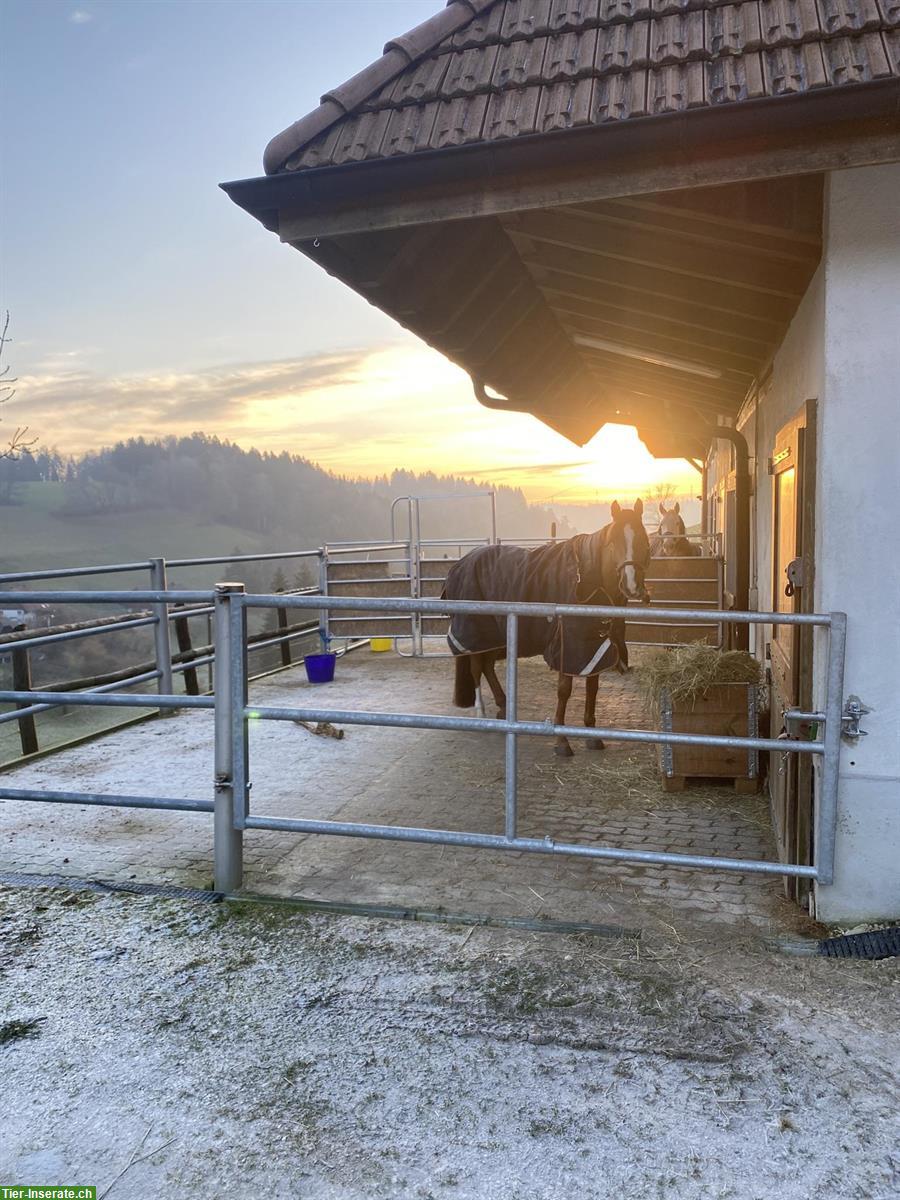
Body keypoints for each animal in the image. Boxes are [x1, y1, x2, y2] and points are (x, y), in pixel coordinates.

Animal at [441, 496, 648, 758]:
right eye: (613, 541)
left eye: (642, 537)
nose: (632, 586)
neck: (584, 579)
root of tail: (458, 565)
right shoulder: (567, 643)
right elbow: (564, 690)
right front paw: (562, 741)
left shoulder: (593, 645)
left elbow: (593, 687)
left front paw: (592, 736)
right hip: (476, 632)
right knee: (477, 668)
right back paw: (482, 712)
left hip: (496, 635)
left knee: (487, 667)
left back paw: (502, 707)